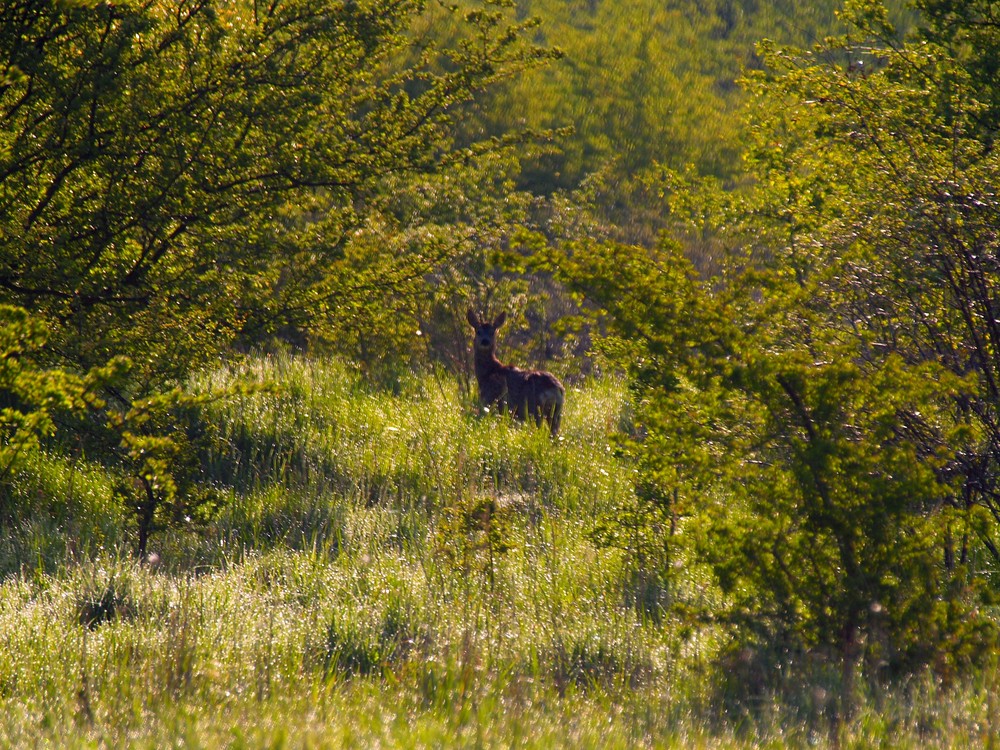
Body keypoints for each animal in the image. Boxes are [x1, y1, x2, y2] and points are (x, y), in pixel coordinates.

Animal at [466, 312, 568, 440]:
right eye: (478, 331)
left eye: (492, 332)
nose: (485, 341)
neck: (488, 373)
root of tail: (556, 388)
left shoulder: (491, 400)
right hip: (556, 413)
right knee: (554, 433)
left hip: (534, 407)